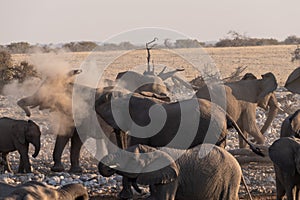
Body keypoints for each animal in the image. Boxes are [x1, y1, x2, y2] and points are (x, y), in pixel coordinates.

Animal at [99, 144, 245, 200]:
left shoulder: (173, 177)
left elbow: (165, 198)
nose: (140, 191)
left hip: (231, 178)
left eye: (132, 159)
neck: (154, 150)